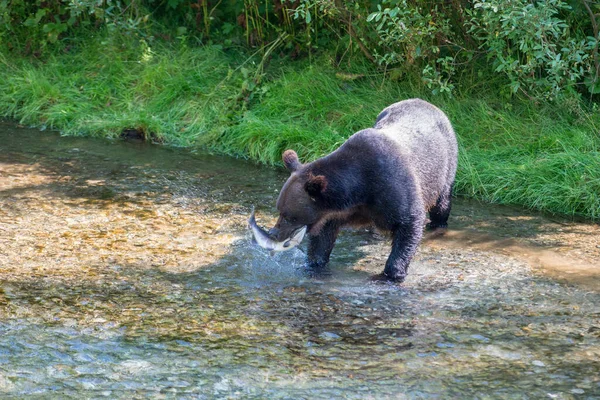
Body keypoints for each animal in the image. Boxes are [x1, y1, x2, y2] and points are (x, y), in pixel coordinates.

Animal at [264, 99, 458, 282]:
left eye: (289, 216)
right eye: (279, 210)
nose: (273, 233)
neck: (359, 189)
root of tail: (428, 104)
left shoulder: (394, 188)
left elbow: (409, 225)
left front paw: (391, 273)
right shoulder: (337, 212)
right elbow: (322, 239)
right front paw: (314, 264)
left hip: (444, 165)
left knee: (441, 204)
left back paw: (438, 224)